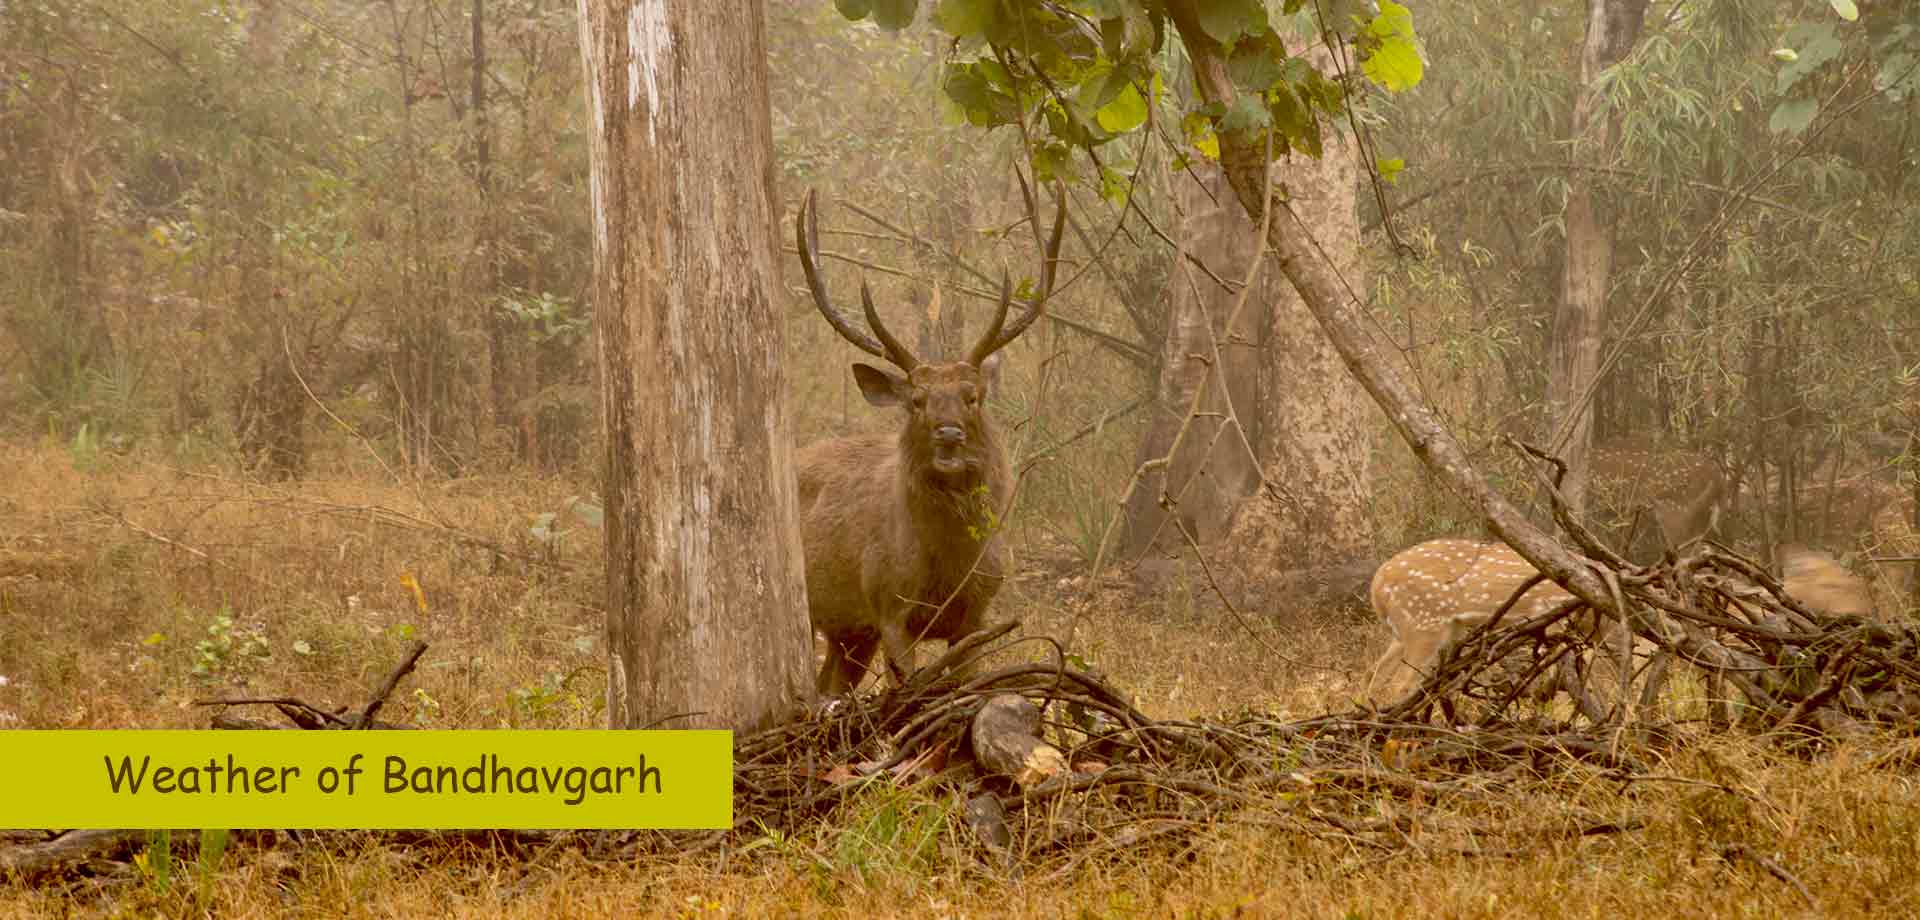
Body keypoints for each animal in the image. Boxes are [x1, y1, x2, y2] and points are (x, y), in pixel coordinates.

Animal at [791, 187, 1067, 699]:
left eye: (972, 396)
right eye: (916, 400)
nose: (949, 434)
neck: (948, 571)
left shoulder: (977, 615)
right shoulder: (888, 605)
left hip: (850, 633)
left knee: (832, 685)